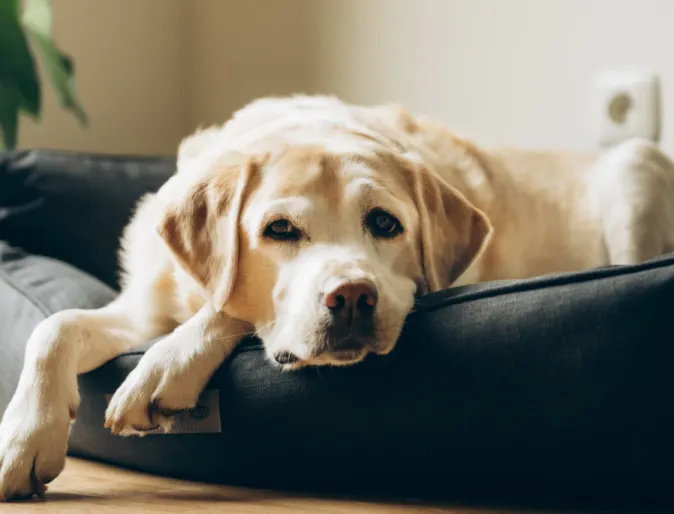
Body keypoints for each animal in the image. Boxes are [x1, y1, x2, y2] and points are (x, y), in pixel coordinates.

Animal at [1, 94, 672, 498]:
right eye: (279, 230)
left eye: (385, 223)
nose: (351, 297)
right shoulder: (143, 306)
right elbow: (54, 326)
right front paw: (24, 438)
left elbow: (228, 311)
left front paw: (165, 368)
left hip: (634, 168)